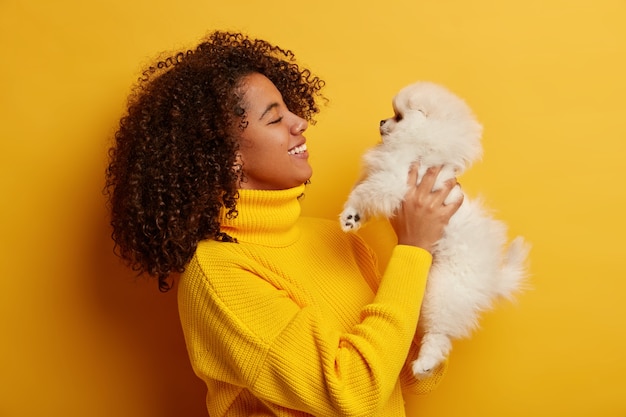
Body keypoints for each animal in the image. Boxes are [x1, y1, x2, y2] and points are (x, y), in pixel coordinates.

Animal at [338, 79, 528, 378]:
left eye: (398, 116)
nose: (381, 121)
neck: (421, 146)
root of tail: (492, 278)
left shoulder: (393, 181)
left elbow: (365, 192)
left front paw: (350, 214)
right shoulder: (384, 180)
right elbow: (364, 195)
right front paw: (353, 218)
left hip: (444, 289)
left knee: (440, 335)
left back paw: (425, 362)